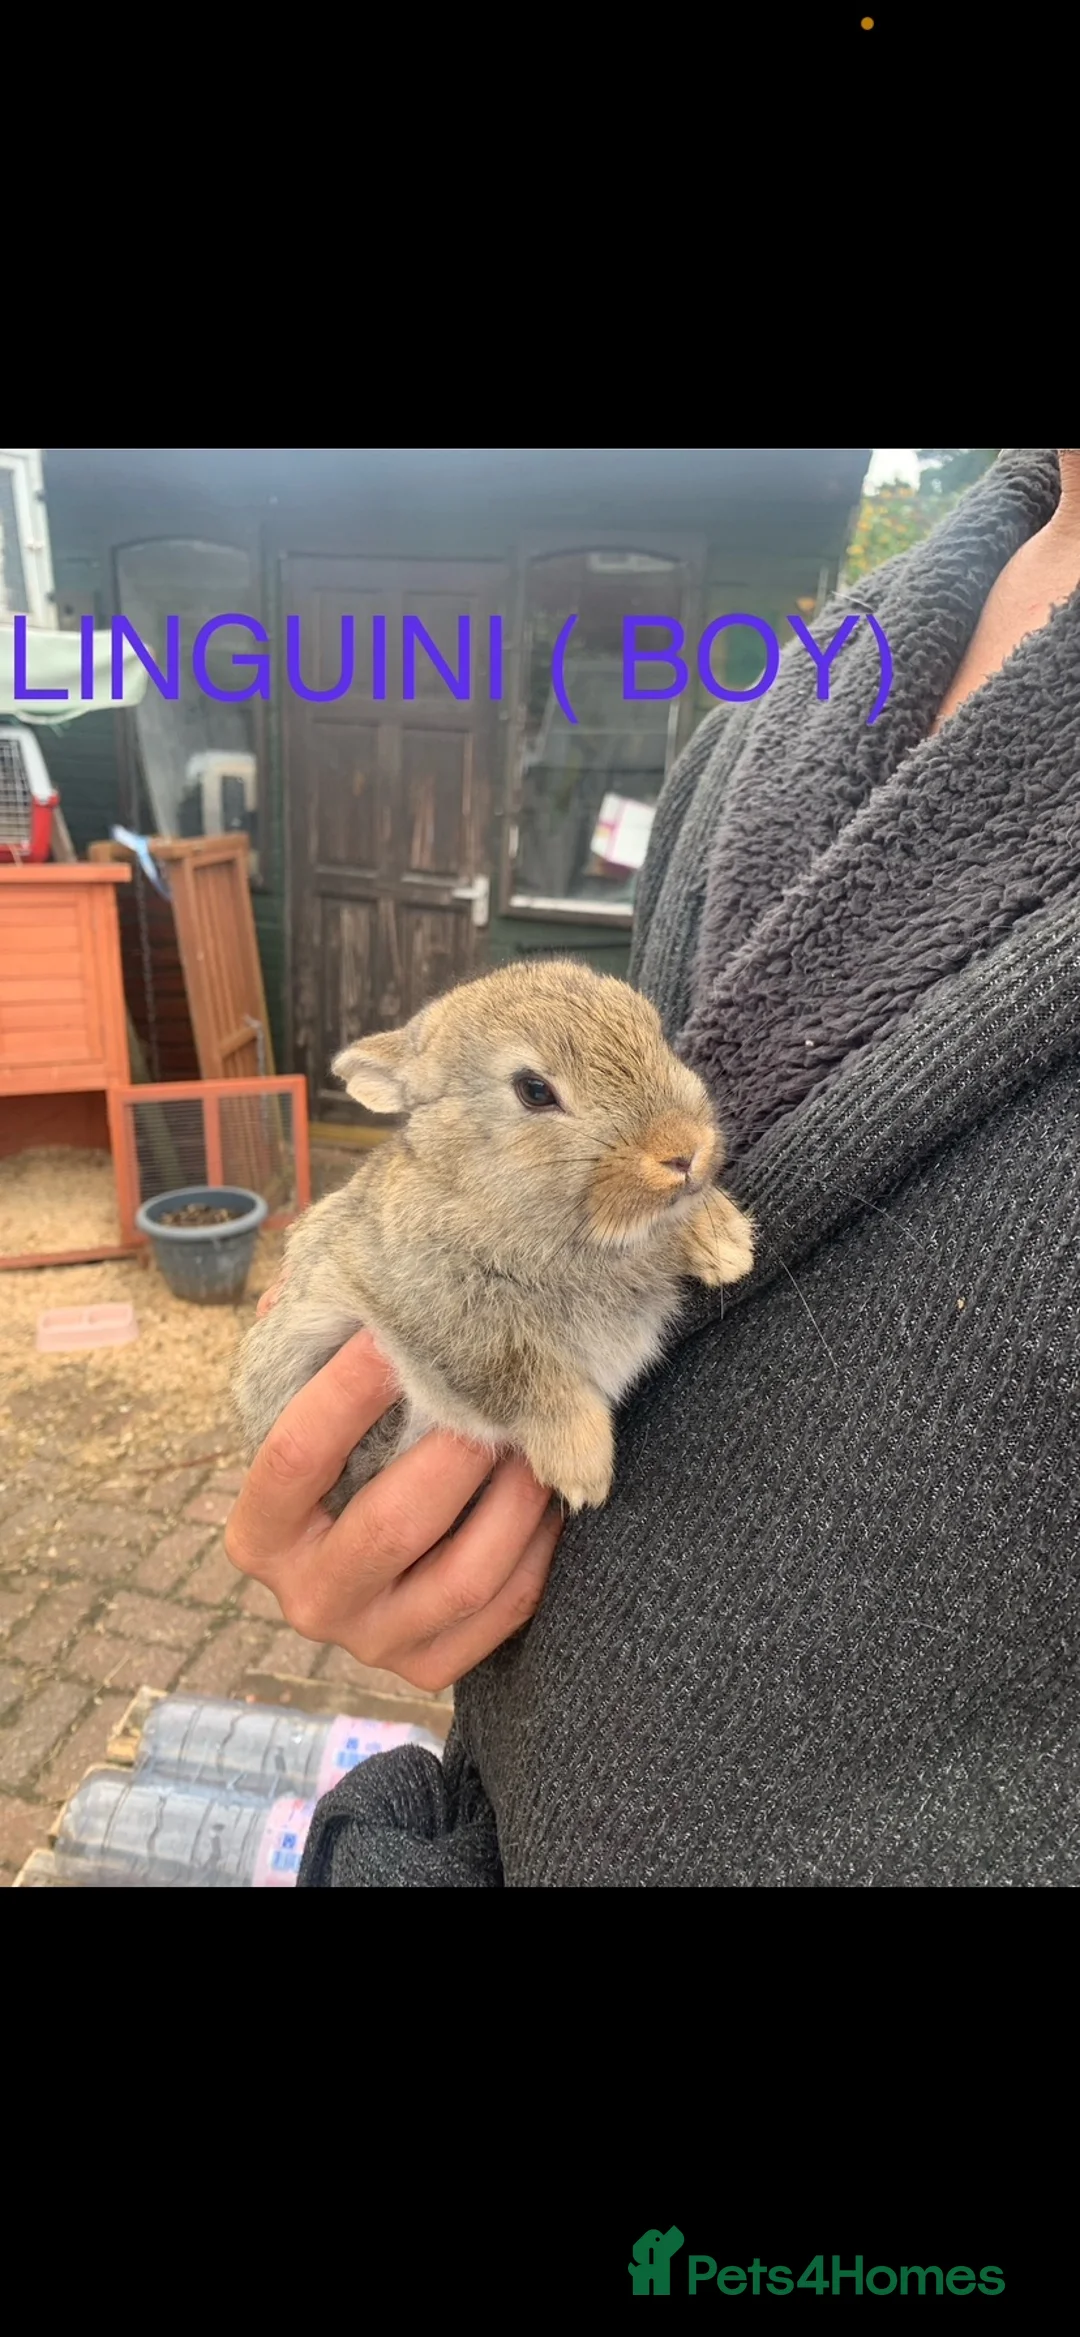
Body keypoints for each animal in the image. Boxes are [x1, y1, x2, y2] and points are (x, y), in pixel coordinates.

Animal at [233, 959, 754, 1518]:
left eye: (656, 1034)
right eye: (534, 1090)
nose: (684, 1150)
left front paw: (729, 1247)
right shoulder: (440, 1318)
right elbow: (526, 1377)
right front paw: (583, 1470)